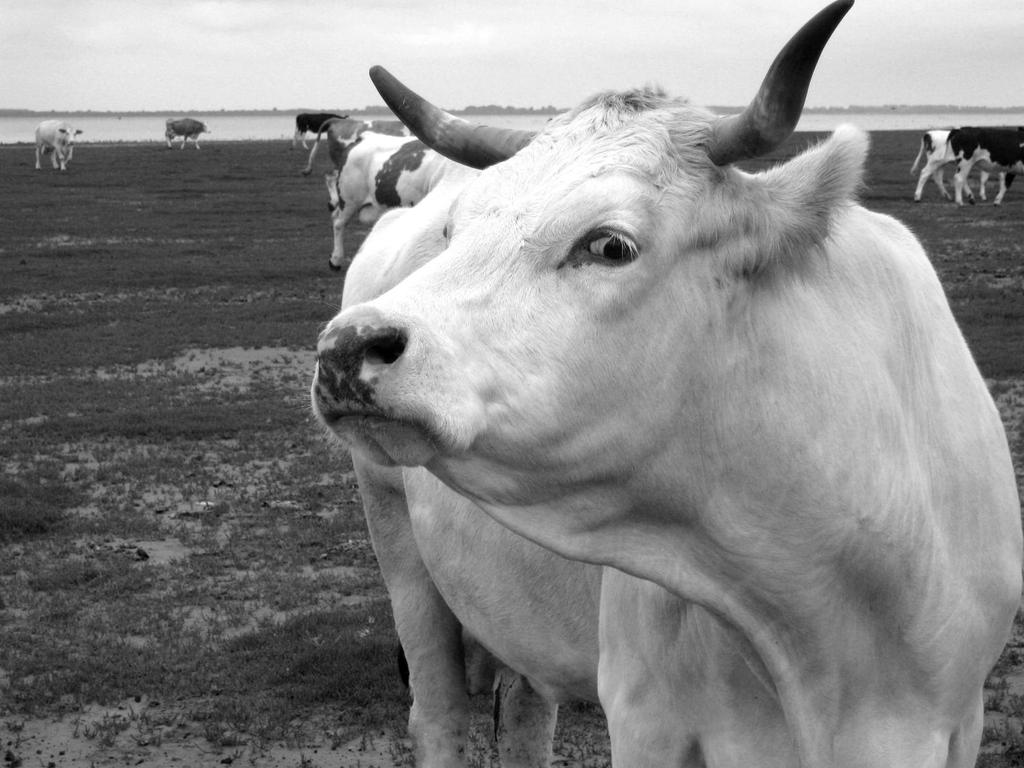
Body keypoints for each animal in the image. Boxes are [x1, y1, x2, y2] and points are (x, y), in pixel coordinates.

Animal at [313, 1, 1024, 768]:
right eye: (454, 231)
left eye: (611, 244)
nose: (343, 349)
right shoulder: (646, 718)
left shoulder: (955, 720)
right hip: (403, 560)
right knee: (438, 715)